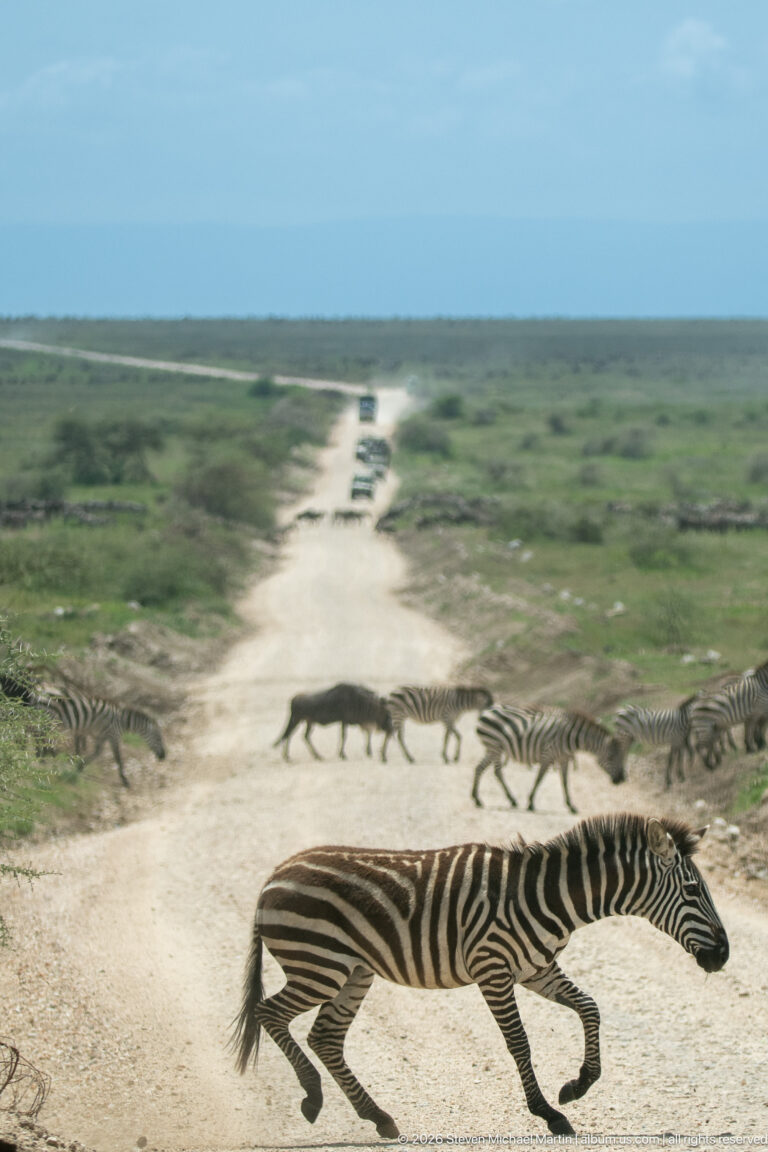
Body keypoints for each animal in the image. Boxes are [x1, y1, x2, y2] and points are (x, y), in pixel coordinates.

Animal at [232, 814, 728, 1138]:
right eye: (692, 890)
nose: (723, 956)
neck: (547, 896)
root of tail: (273, 876)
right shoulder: (494, 969)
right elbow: (520, 1042)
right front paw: (548, 1112)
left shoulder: (537, 969)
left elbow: (590, 1008)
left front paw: (578, 1085)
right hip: (319, 965)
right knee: (268, 1013)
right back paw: (313, 1096)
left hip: (352, 972)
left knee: (325, 1038)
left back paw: (378, 1117)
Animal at [472, 704, 626, 813]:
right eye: (611, 757)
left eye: (622, 756)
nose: (621, 779)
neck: (571, 738)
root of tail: (488, 710)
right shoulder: (548, 755)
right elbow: (539, 778)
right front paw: (531, 803)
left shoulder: (564, 758)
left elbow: (565, 782)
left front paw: (571, 806)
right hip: (494, 747)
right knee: (496, 771)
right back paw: (507, 799)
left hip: (493, 748)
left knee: (480, 768)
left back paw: (477, 798)